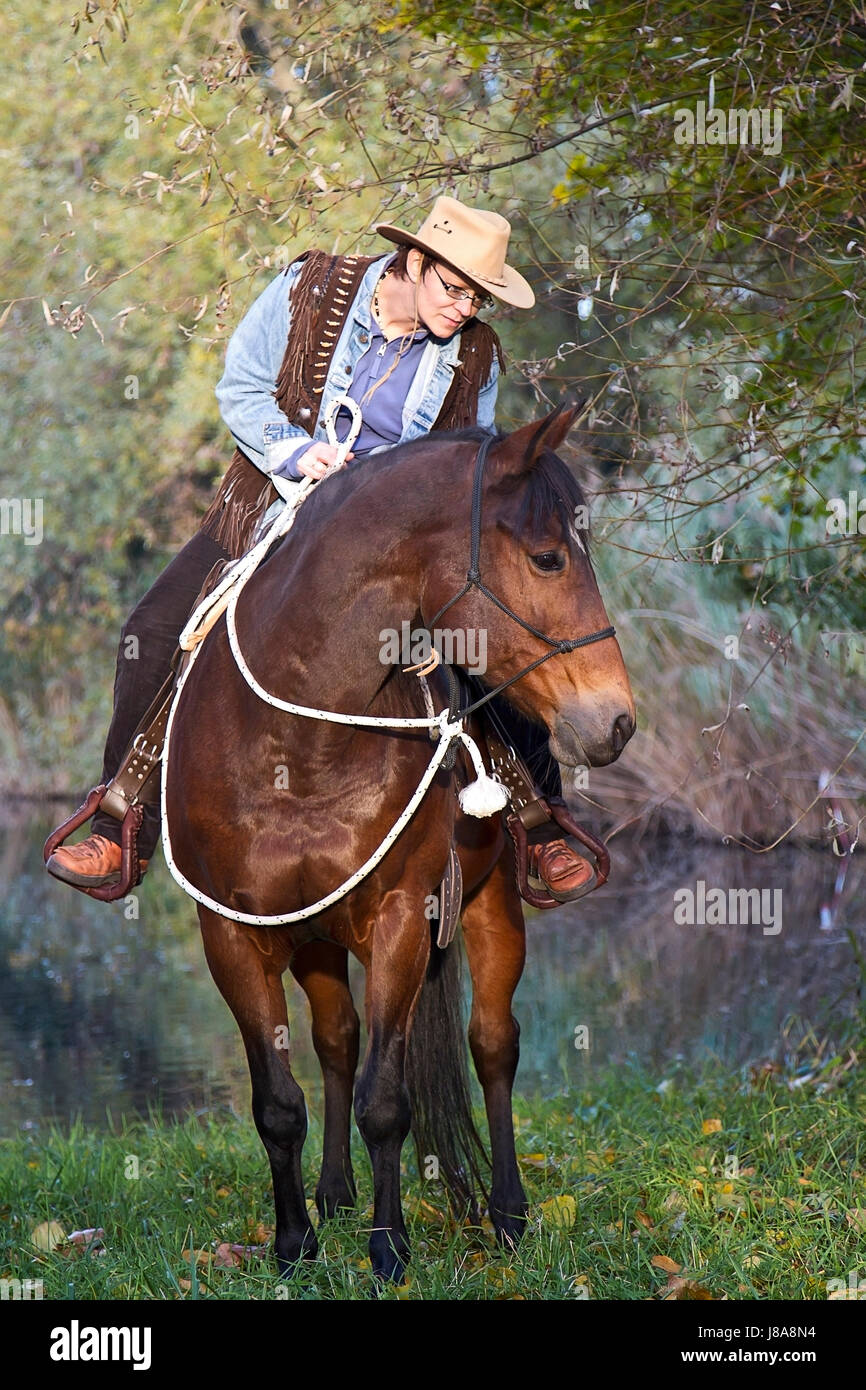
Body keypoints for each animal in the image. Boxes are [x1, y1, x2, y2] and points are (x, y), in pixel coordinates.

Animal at [163, 404, 635, 1284]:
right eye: (548, 557)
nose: (617, 721)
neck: (296, 744)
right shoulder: (233, 936)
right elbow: (278, 1102)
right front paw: (294, 1243)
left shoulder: (401, 922)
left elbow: (388, 1101)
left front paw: (388, 1251)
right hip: (316, 942)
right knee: (337, 1040)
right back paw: (335, 1194)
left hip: (489, 909)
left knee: (492, 1047)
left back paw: (507, 1213)